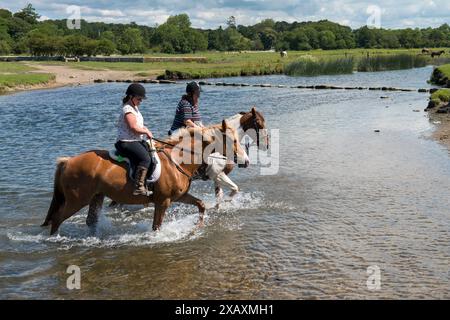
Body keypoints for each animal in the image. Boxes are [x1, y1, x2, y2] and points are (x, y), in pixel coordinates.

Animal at [41, 120, 250, 235]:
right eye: (233, 140)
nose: (246, 161)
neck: (178, 159)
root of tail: (67, 161)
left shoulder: (179, 196)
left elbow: (201, 205)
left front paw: (197, 226)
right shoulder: (163, 201)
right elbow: (156, 226)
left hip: (96, 197)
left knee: (90, 220)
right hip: (77, 200)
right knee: (57, 218)